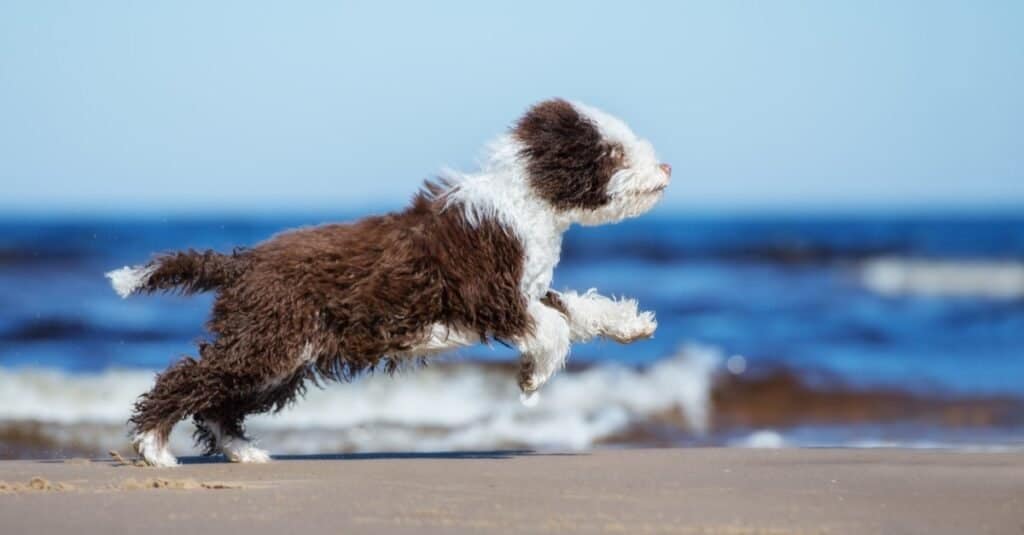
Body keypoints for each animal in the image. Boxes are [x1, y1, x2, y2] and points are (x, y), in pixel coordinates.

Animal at [108, 97, 667, 463]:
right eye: (612, 153)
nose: (665, 167)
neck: (524, 202)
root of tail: (242, 264)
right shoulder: (490, 295)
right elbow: (553, 326)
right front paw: (532, 376)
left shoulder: (526, 289)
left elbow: (573, 309)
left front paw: (631, 324)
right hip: (268, 342)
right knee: (188, 379)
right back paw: (154, 446)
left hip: (283, 356)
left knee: (218, 403)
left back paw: (243, 451)